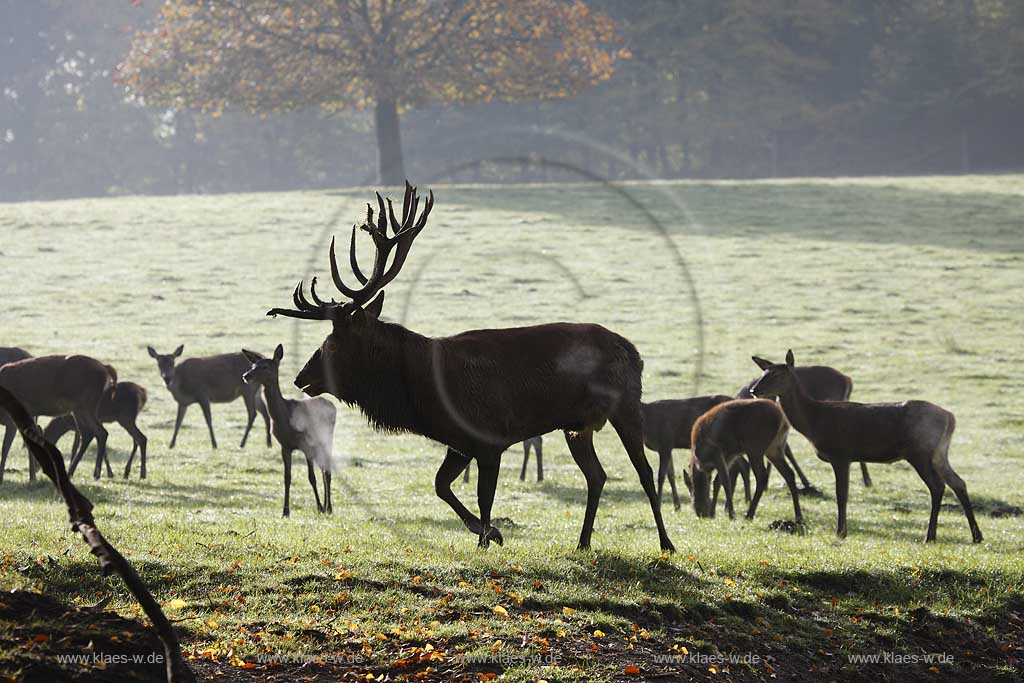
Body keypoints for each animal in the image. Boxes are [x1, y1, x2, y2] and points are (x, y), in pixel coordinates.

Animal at [239, 348, 335, 518]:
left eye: (265, 367)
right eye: (253, 365)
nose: (246, 375)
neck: (285, 417)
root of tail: (332, 405)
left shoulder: (306, 444)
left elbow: (311, 477)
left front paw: (318, 507)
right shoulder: (285, 446)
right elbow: (287, 478)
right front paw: (285, 512)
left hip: (327, 438)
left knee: (327, 471)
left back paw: (328, 508)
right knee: (324, 470)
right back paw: (326, 506)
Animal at [268, 184, 675, 552]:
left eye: (332, 343)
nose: (301, 377)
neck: (424, 397)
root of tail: (635, 352)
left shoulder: (489, 437)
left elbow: (484, 497)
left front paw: (487, 539)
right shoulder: (460, 442)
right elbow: (440, 485)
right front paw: (488, 533)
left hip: (626, 406)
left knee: (644, 472)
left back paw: (666, 543)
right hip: (576, 427)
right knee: (597, 475)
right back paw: (583, 542)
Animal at [688, 395, 798, 524]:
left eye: (693, 496)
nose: (700, 513)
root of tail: (782, 418)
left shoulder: (717, 452)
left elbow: (725, 481)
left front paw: (731, 515)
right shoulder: (729, 456)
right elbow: (717, 482)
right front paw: (713, 513)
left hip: (755, 448)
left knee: (762, 477)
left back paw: (749, 515)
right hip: (775, 448)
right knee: (789, 473)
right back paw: (798, 516)